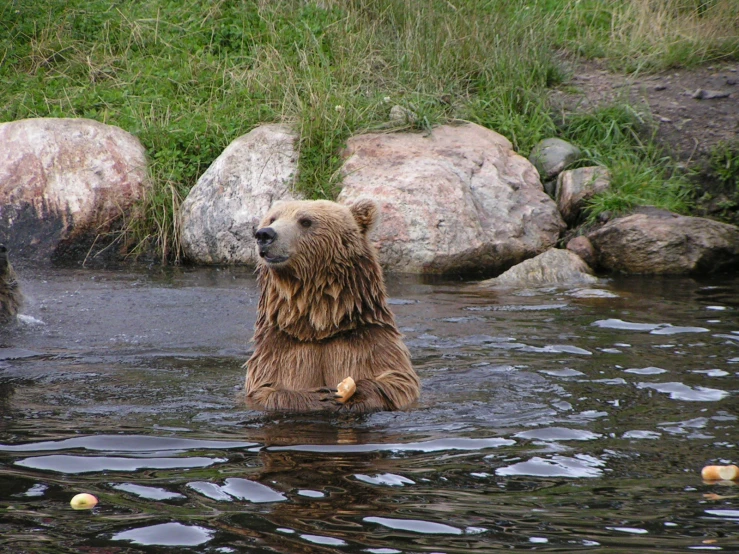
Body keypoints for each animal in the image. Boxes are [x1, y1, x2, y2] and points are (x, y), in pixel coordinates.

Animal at [246, 198, 420, 410]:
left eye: (305, 221)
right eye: (272, 218)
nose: (265, 234)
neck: (318, 327)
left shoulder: (366, 341)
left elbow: (398, 382)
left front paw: (355, 392)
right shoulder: (279, 350)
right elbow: (265, 390)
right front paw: (319, 398)